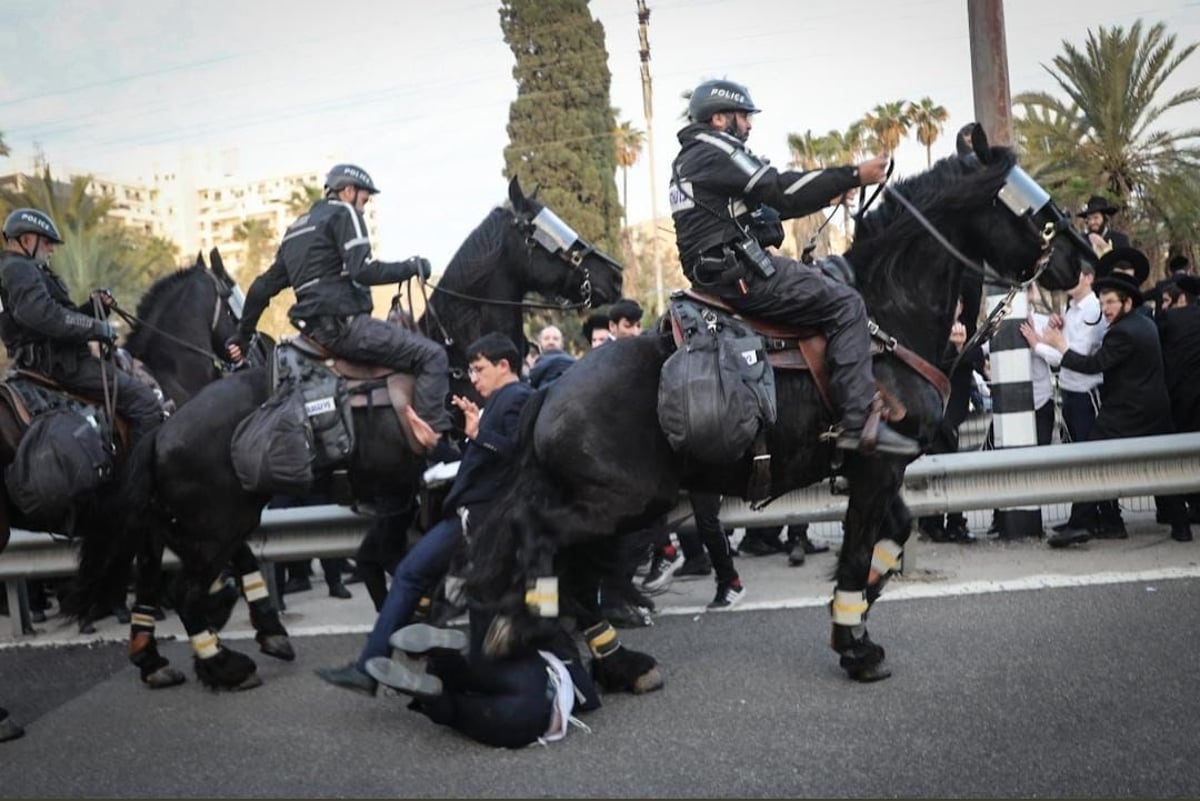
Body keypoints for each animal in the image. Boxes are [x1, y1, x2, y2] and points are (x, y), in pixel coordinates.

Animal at [70, 175, 624, 690]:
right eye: (550, 233)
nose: (614, 276)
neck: (459, 356)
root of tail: (164, 429)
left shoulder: (401, 499)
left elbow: (387, 563)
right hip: (215, 528)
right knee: (185, 592)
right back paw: (225, 663)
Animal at [465, 128, 1089, 685]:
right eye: (1027, 201)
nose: (1080, 260)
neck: (887, 312)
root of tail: (548, 391)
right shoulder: (877, 464)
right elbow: (860, 545)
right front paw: (854, 644)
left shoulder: (879, 469)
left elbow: (894, 536)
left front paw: (854, 616)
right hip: (623, 503)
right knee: (543, 540)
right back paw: (588, 647)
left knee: (569, 562)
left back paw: (603, 654)